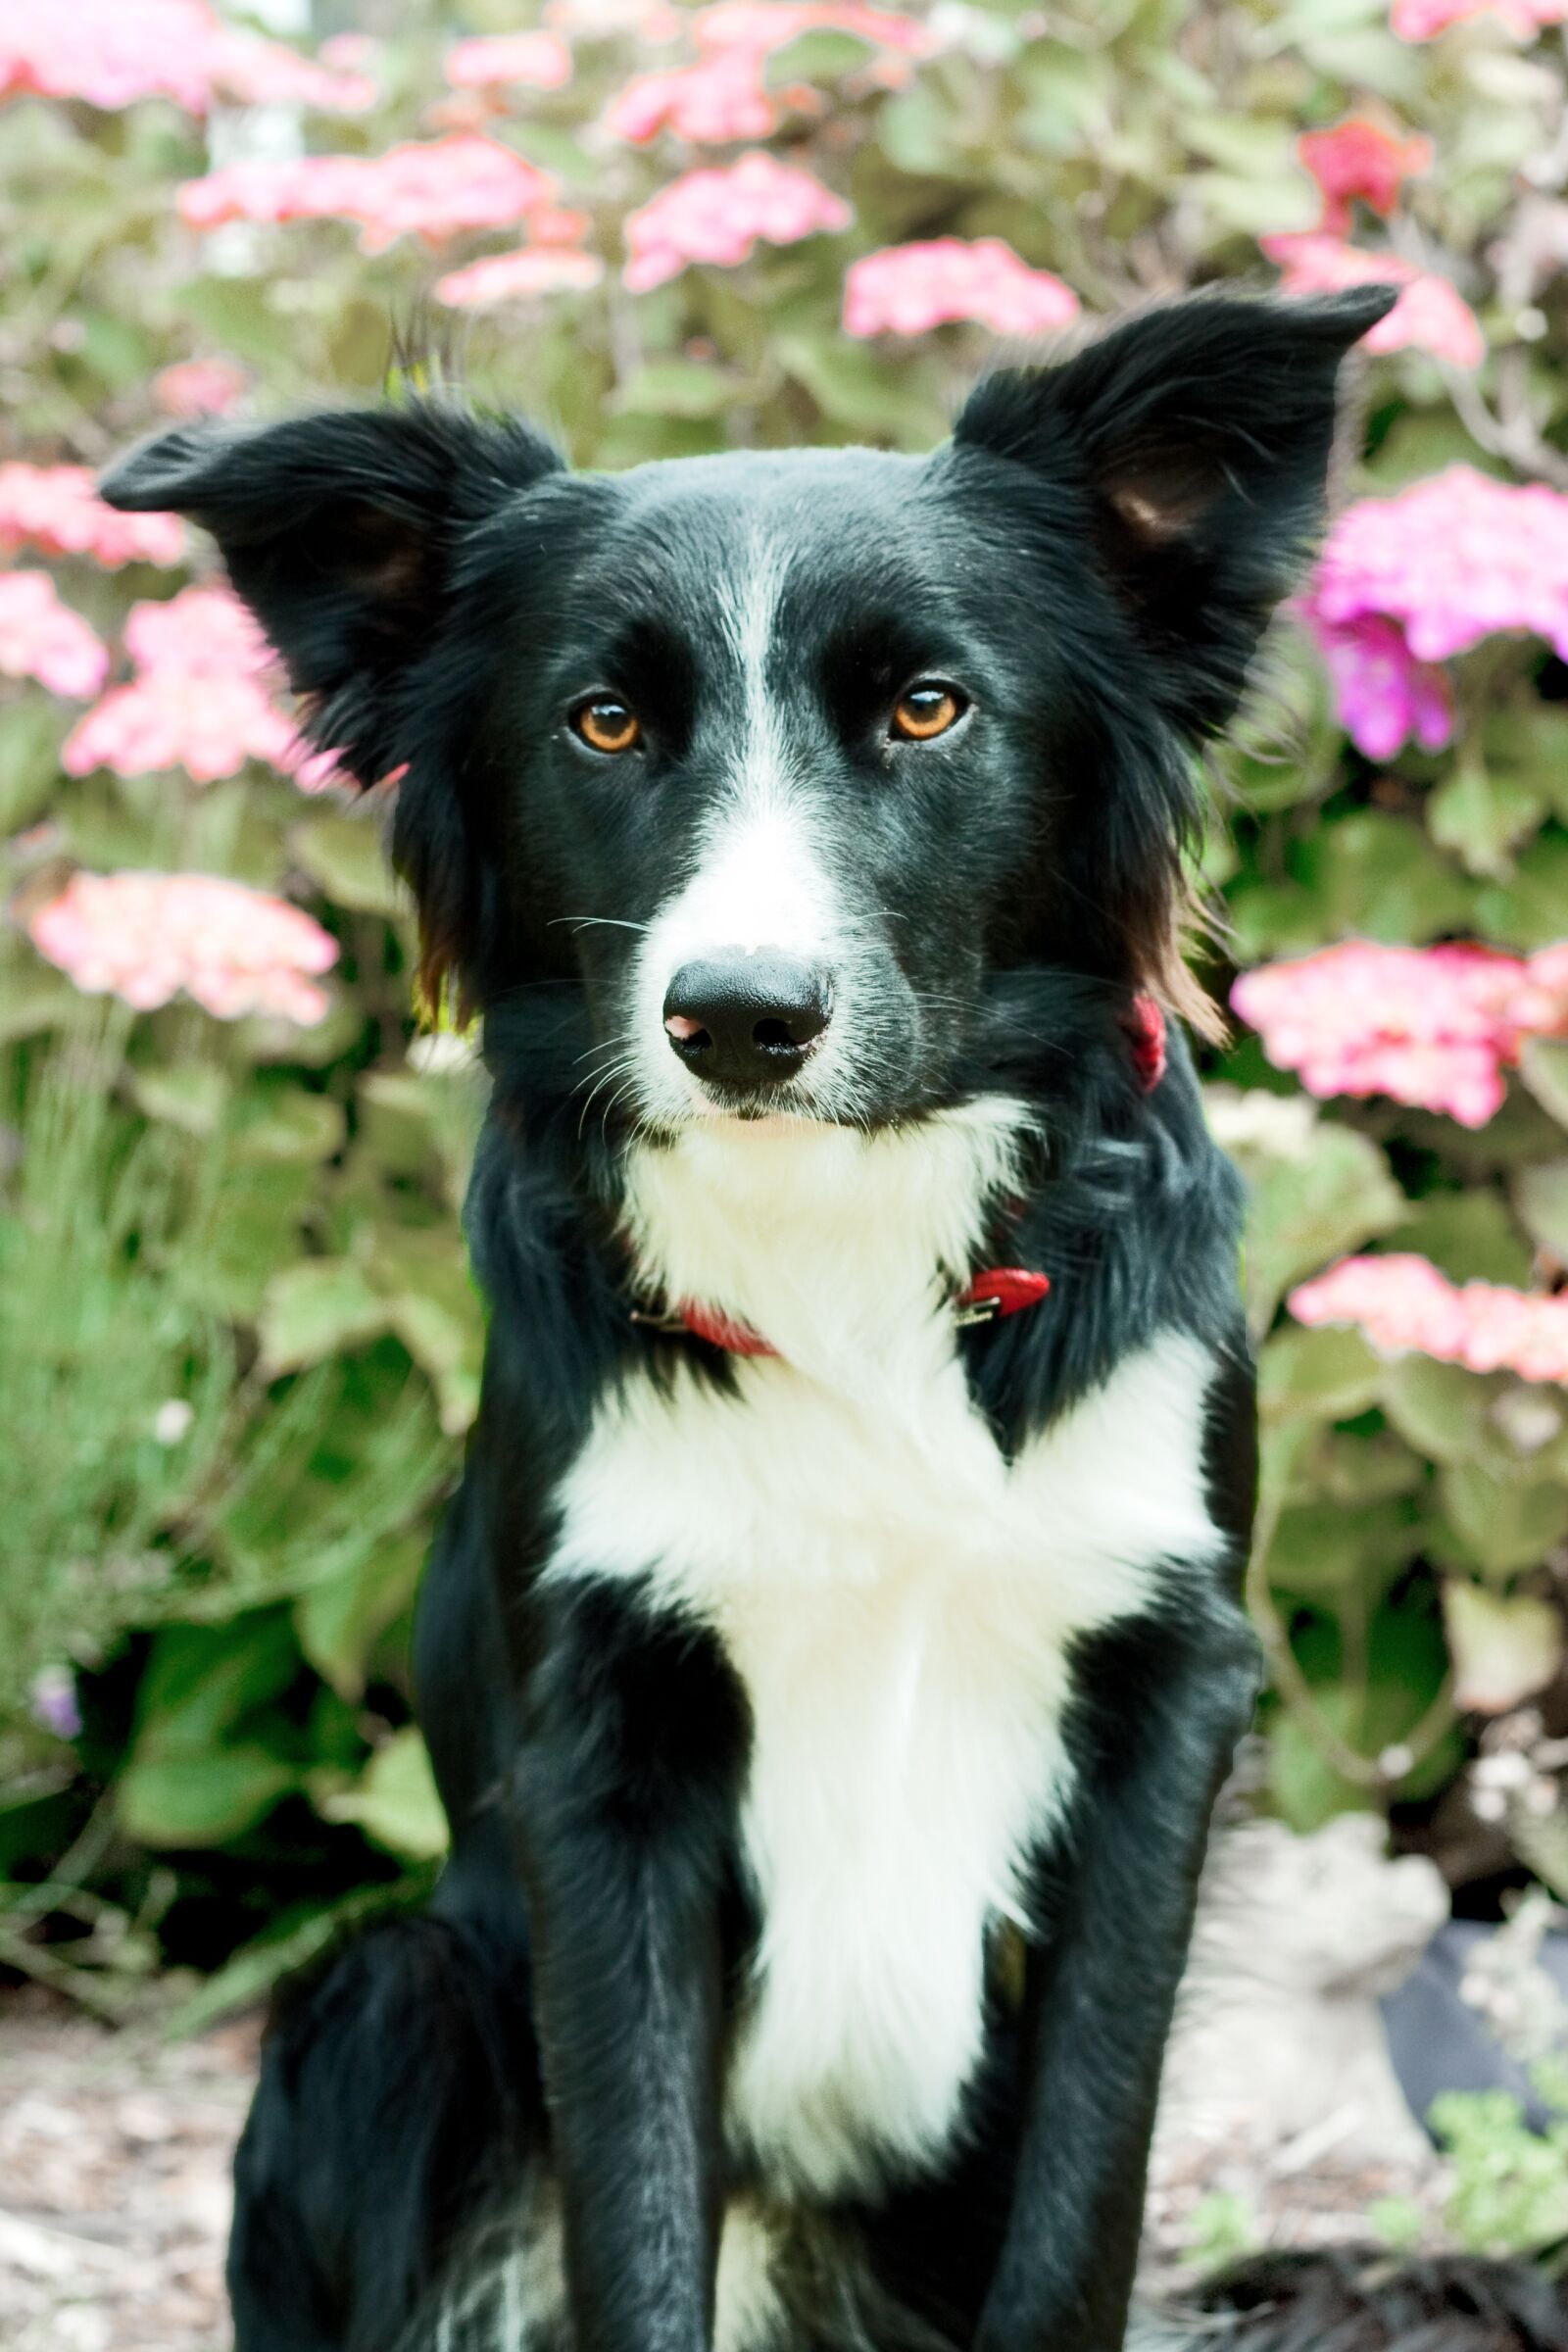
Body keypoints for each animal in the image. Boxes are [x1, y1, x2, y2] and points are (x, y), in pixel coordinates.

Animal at [107, 289, 1560, 2352]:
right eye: (605, 720)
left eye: (928, 709)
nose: (740, 1019)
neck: (846, 1237)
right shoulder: (601, 1744)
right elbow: (637, 2229)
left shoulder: (1158, 1711)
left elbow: (1080, 2212)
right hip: (392, 2002)